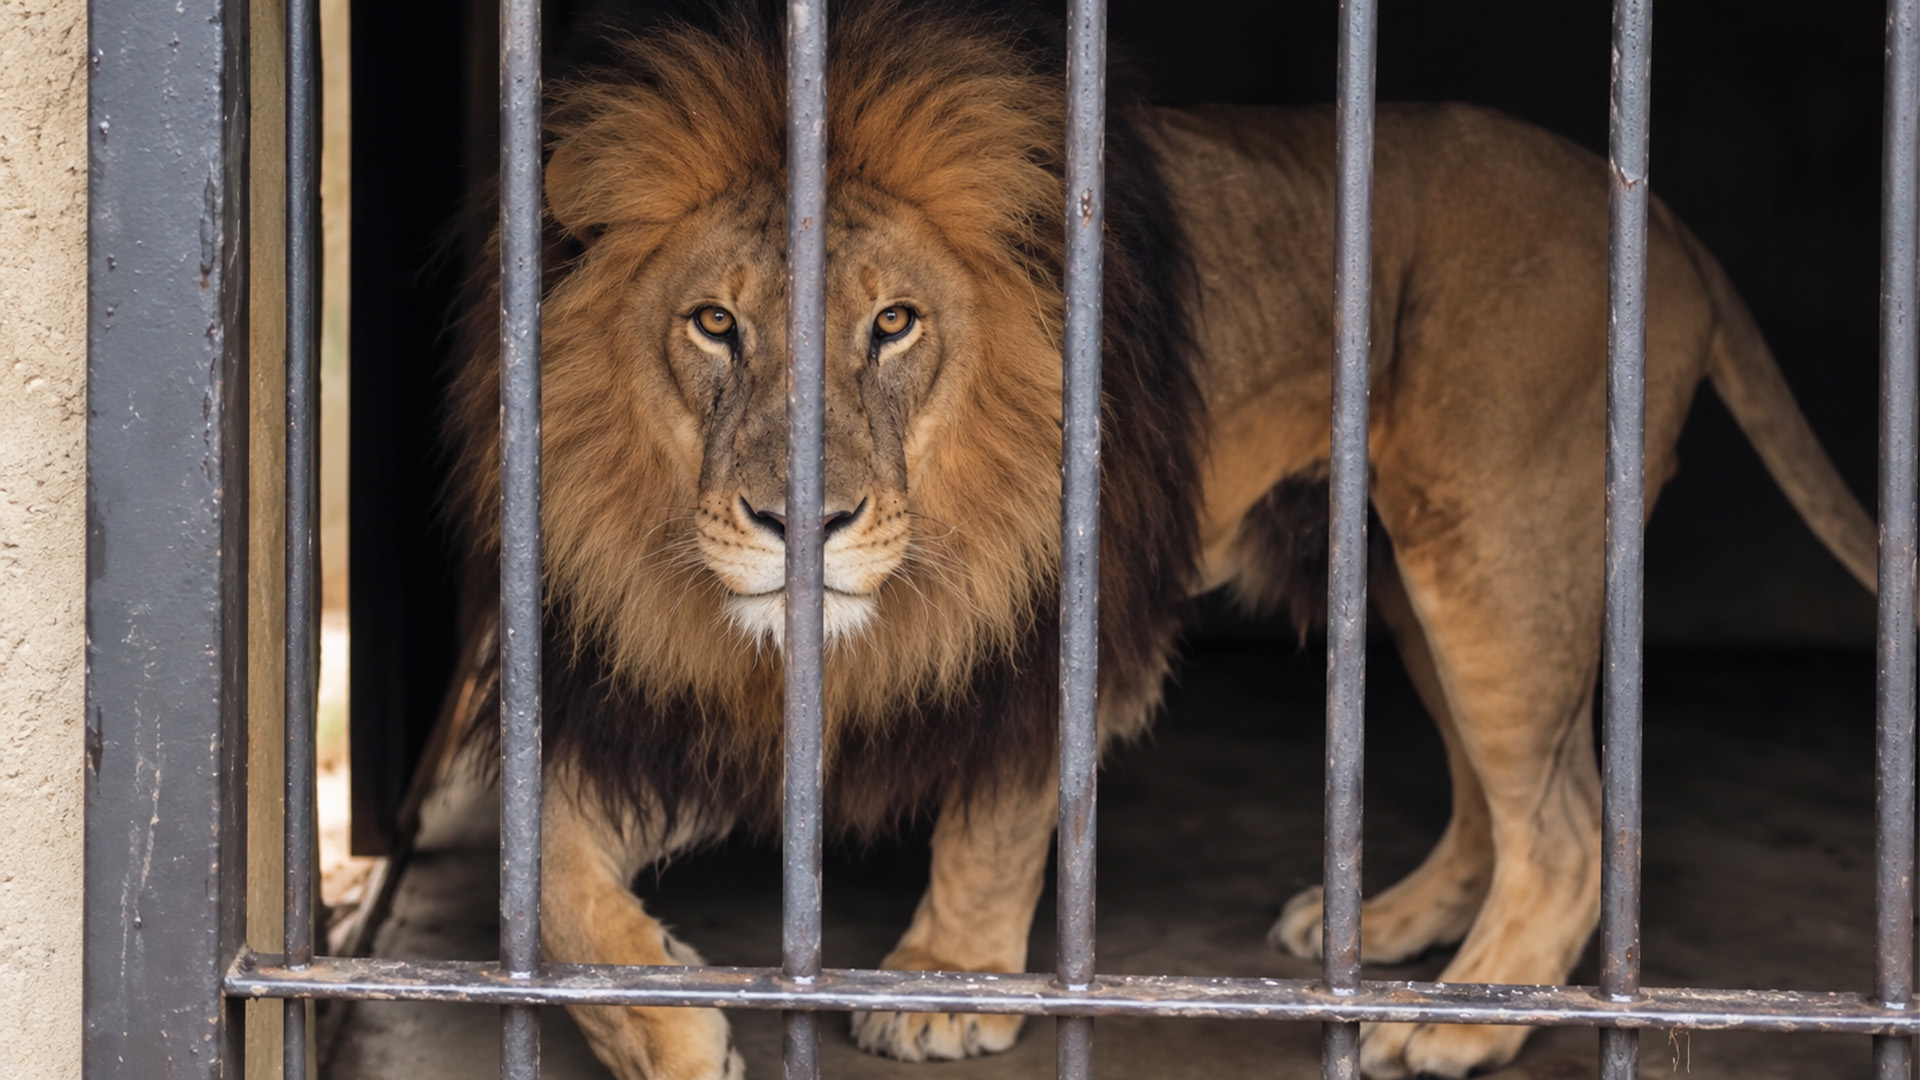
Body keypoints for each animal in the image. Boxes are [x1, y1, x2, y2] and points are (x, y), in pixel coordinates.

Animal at [440, 1, 1877, 1077]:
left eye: (894, 324)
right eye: (715, 325)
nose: (807, 525)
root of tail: (1656, 210)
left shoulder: (1067, 618)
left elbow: (1000, 818)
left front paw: (946, 983)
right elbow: (538, 885)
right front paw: (667, 1019)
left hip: (1501, 543)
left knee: (1568, 826)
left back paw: (1456, 1022)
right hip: (1414, 570)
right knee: (1501, 799)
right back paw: (1384, 929)